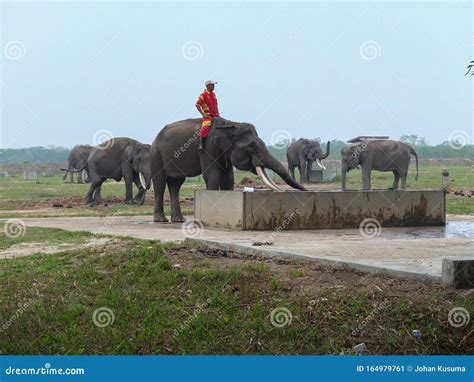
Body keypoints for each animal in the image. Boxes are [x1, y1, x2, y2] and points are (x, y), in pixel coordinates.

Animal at [152, 118, 308, 222]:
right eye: (251, 147)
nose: (307, 191)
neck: (230, 124)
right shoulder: (207, 148)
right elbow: (212, 175)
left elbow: (228, 178)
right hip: (156, 155)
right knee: (160, 183)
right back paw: (161, 220)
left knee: (176, 183)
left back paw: (179, 220)